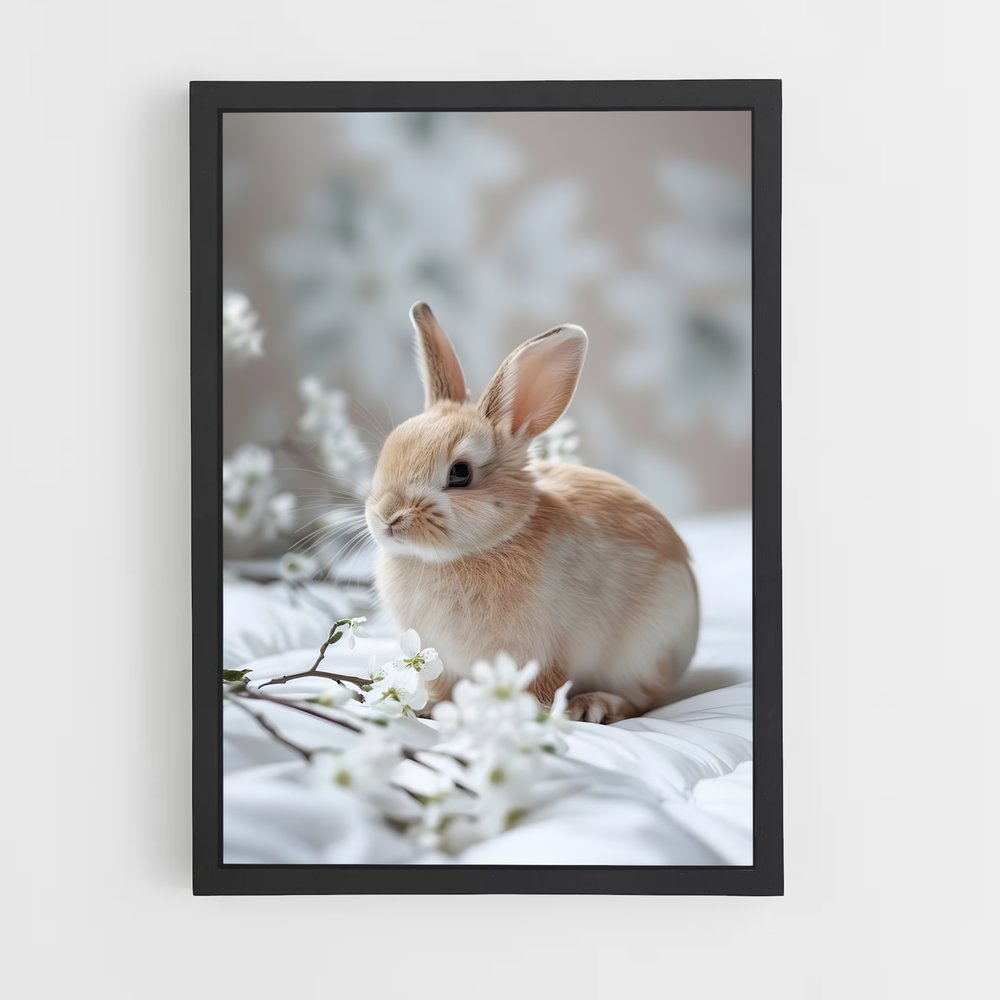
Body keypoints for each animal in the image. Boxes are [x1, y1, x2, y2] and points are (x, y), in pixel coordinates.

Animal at [364, 302, 699, 724]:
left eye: (460, 473)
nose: (387, 517)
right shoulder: (442, 659)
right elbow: (442, 687)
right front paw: (431, 708)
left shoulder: (540, 653)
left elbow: (542, 688)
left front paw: (531, 714)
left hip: (643, 650)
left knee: (644, 697)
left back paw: (595, 706)